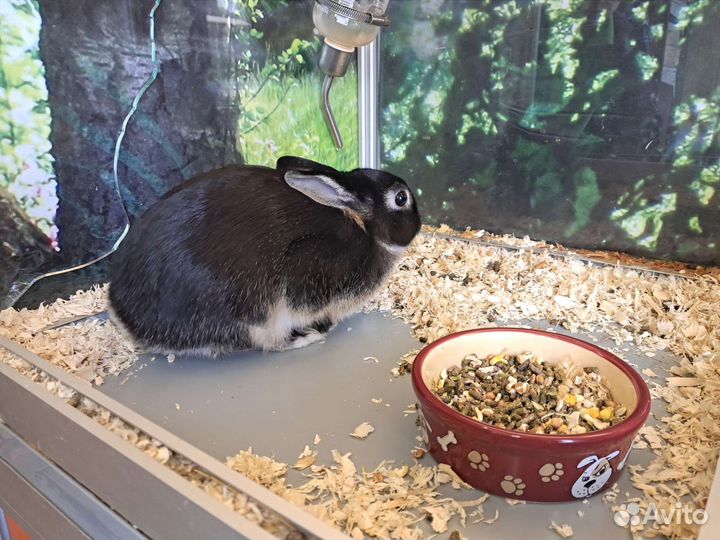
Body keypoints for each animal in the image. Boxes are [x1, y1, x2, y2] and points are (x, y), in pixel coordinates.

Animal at [108, 156, 421, 355]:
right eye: (401, 198)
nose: (419, 223)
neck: (362, 226)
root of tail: (127, 320)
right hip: (253, 316)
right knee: (268, 342)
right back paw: (308, 338)